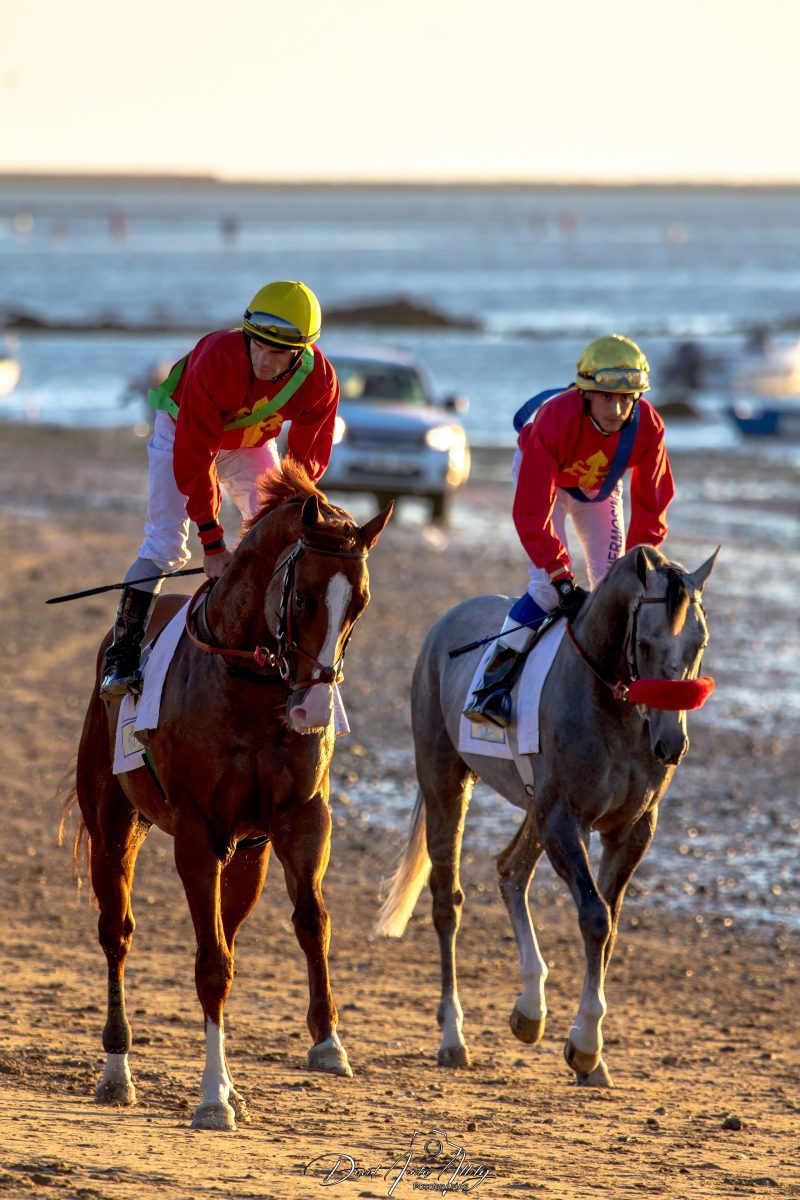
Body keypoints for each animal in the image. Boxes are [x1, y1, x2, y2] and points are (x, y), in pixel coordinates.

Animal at [63, 460, 392, 1130]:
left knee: (231, 929)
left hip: (250, 854)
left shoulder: (299, 818)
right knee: (117, 932)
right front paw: (213, 1096)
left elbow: (311, 921)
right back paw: (117, 1070)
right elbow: (211, 965)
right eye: (303, 598)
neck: (253, 685)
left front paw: (327, 1041)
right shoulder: (198, 832)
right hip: (113, 825)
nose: (314, 710)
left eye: (360, 603)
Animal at [377, 545, 717, 1087]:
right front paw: (585, 1044)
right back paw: (453, 1037)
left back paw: (529, 1007)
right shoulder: (563, 817)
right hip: (445, 780)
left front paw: (588, 1051)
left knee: (510, 870)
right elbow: (595, 917)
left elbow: (609, 924)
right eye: (644, 644)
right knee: (448, 901)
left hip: (534, 806)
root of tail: (447, 620)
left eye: (698, 642)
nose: (671, 743)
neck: (614, 710)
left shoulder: (629, 831)